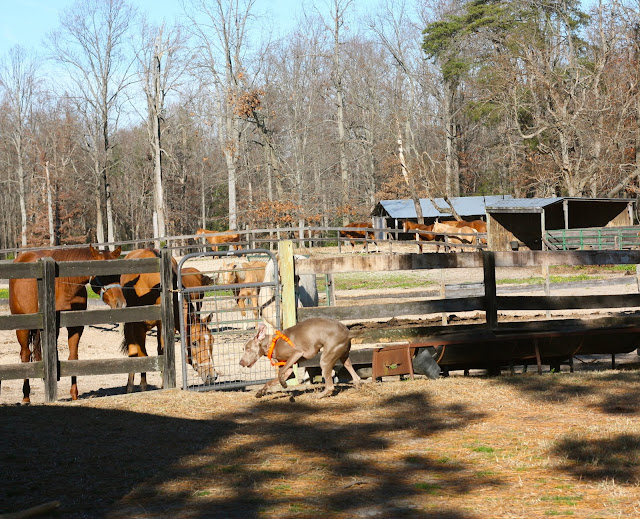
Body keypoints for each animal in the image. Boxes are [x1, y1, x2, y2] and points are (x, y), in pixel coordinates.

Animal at [9, 245, 124, 403]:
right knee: (25, 356)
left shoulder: (76, 326)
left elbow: (73, 357)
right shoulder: (54, 328)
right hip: (22, 327)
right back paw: (26, 397)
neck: (66, 285)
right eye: (102, 274)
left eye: (118, 273)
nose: (120, 303)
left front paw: (74, 395)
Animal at [120, 249, 216, 393]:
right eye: (194, 343)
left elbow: (162, 352)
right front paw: (143, 386)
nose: (212, 375)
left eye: (212, 340)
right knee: (133, 351)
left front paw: (164, 383)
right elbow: (142, 355)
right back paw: (130, 386)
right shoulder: (139, 326)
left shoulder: (164, 326)